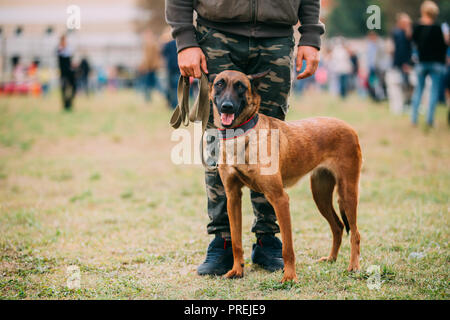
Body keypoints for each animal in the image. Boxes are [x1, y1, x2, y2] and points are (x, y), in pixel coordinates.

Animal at [210, 70, 362, 282]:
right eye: (219, 84)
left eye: (241, 86)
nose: (227, 106)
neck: (242, 136)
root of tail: (349, 126)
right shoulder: (233, 197)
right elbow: (235, 241)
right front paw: (237, 271)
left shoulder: (279, 198)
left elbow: (287, 247)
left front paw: (289, 277)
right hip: (320, 194)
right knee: (338, 226)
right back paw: (331, 258)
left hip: (347, 193)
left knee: (355, 232)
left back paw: (354, 266)